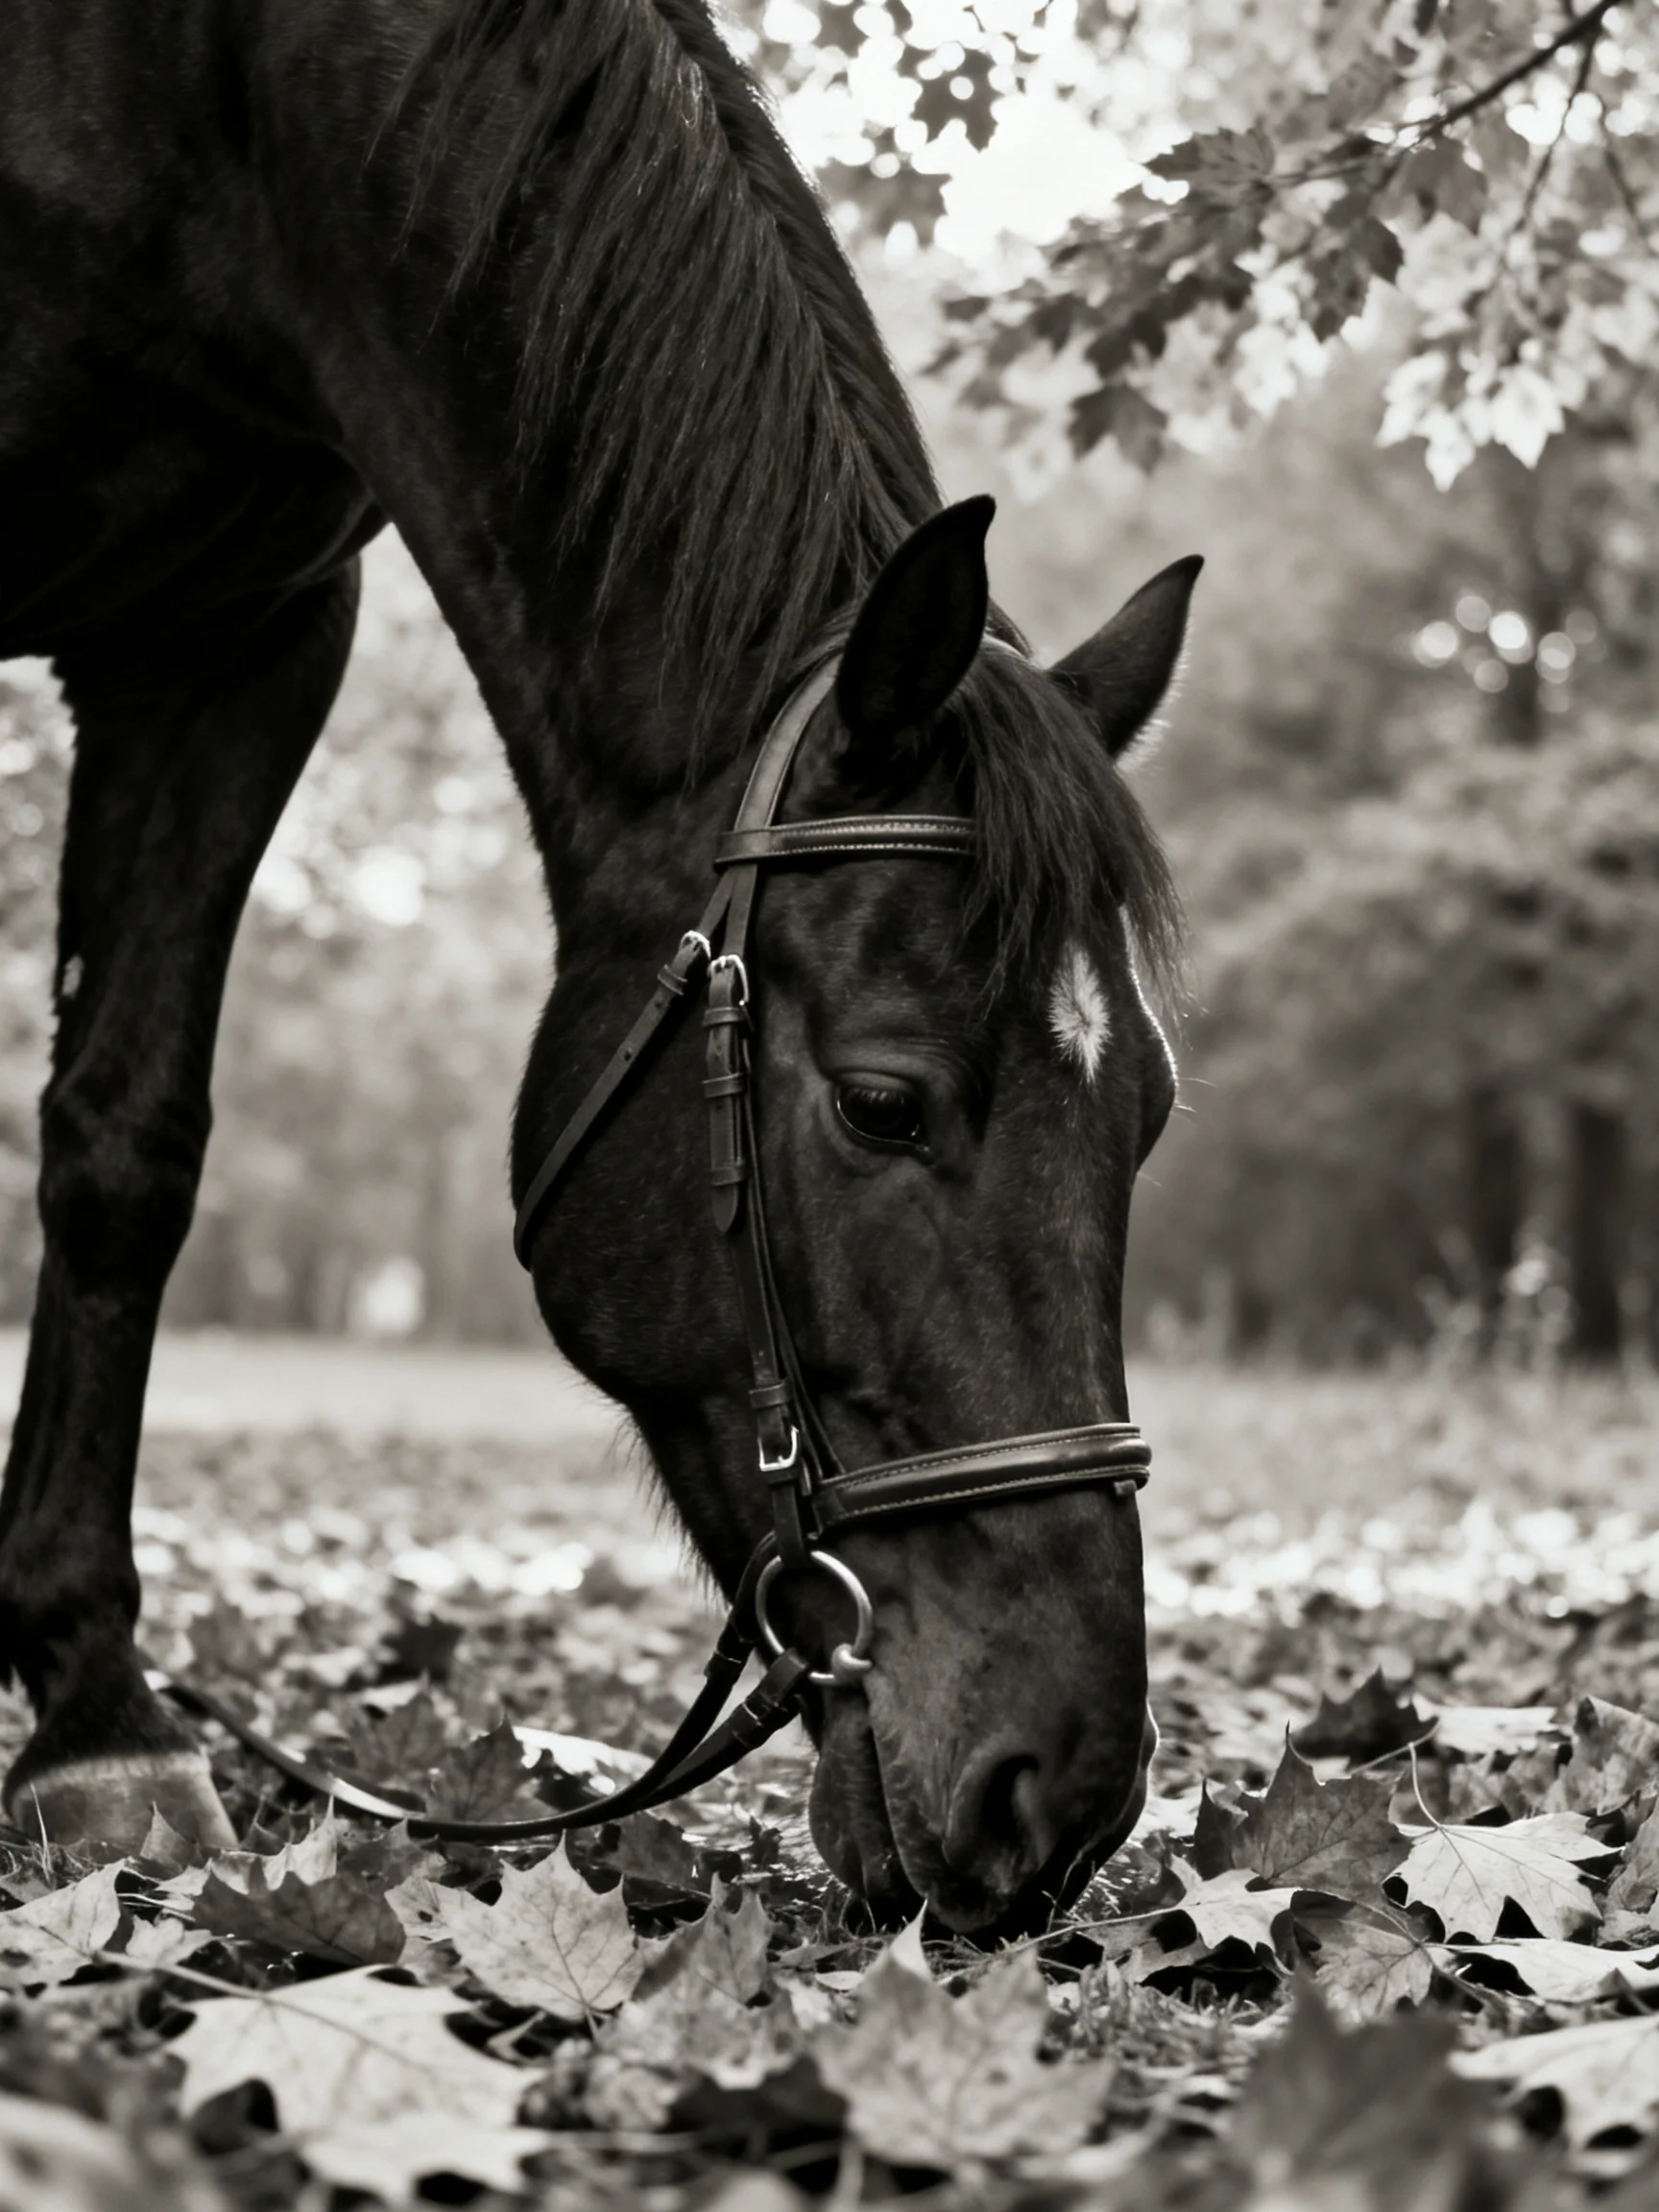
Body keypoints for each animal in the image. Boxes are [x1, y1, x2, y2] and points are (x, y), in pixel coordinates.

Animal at [0, 0, 1197, 1934]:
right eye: (883, 1102)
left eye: (1145, 1117)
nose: (1065, 1793)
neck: (207, 99)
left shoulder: (240, 635)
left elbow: (124, 1148)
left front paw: (93, 1712)